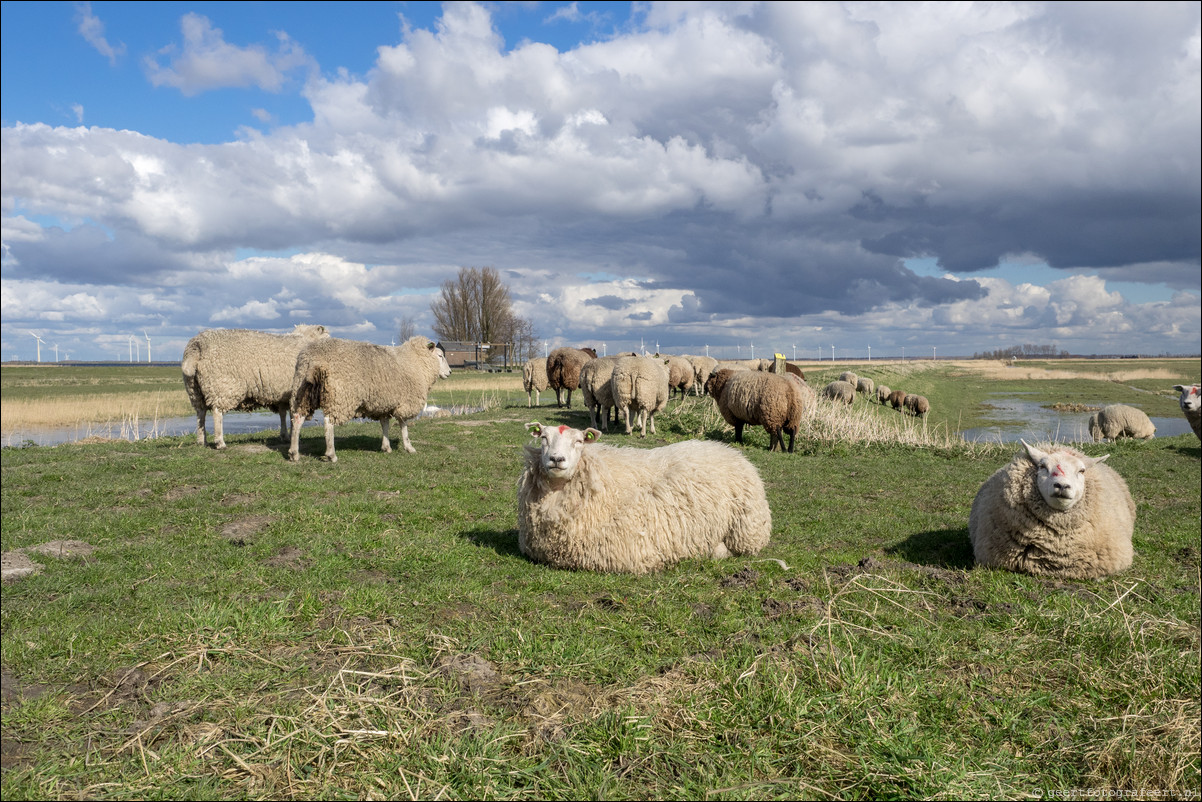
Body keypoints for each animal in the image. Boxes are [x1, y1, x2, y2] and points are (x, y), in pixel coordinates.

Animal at [179, 327, 329, 452]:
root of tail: (196, 346)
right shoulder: (294, 392)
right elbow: (292, 415)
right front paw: (293, 435)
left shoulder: (282, 395)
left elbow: (283, 414)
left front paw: (285, 435)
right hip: (221, 386)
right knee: (217, 413)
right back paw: (220, 443)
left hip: (194, 390)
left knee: (200, 413)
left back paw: (201, 441)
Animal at [286, 336, 451, 464]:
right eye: (440, 356)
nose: (449, 372)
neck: (417, 362)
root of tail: (313, 359)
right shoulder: (405, 401)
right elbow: (403, 425)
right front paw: (409, 447)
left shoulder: (384, 403)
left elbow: (385, 424)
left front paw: (386, 447)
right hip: (339, 396)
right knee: (328, 423)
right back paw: (331, 455)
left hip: (301, 392)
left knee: (297, 419)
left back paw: (294, 453)